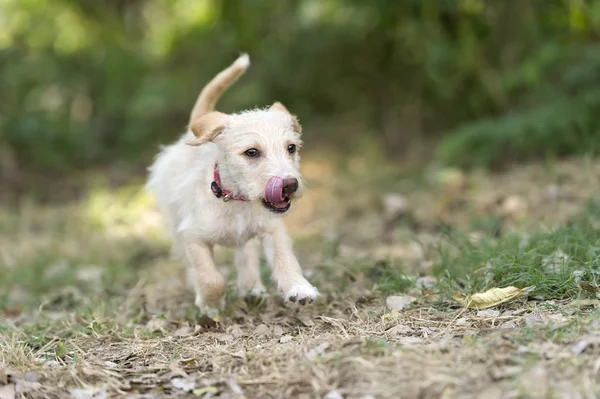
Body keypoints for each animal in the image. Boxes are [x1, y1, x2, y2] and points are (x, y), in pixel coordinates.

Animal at [146, 54, 318, 316]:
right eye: (252, 152)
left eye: (291, 148)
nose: (289, 185)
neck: (237, 200)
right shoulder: (193, 237)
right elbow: (211, 278)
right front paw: (210, 304)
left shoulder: (272, 229)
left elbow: (284, 258)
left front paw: (299, 287)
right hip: (175, 224)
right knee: (193, 265)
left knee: (245, 254)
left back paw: (251, 287)